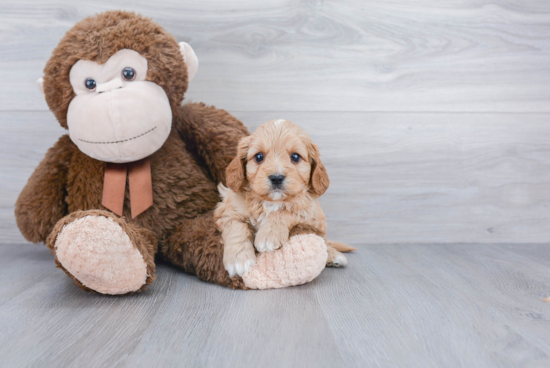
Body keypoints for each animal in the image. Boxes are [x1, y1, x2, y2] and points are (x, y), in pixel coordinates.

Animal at [213, 118, 356, 276]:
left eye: (295, 157)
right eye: (259, 157)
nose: (276, 178)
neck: (271, 201)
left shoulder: (309, 211)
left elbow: (285, 211)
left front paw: (268, 235)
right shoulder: (227, 212)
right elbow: (237, 228)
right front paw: (238, 259)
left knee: (324, 240)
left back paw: (334, 255)